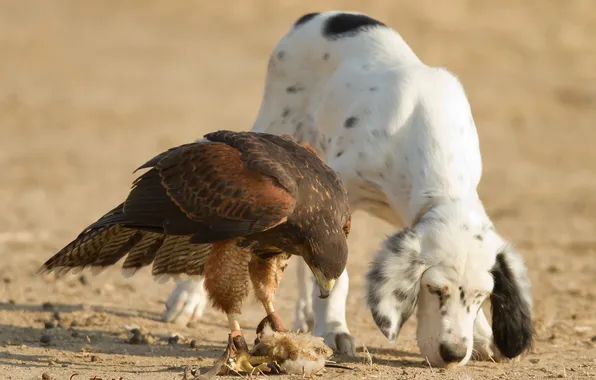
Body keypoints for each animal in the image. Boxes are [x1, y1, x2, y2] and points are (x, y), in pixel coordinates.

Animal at [162, 10, 532, 366]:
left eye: (482, 296)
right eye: (434, 290)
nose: (453, 354)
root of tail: (319, 15)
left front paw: (482, 335)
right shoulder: (335, 195)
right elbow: (334, 273)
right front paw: (334, 328)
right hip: (276, 131)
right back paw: (188, 297)